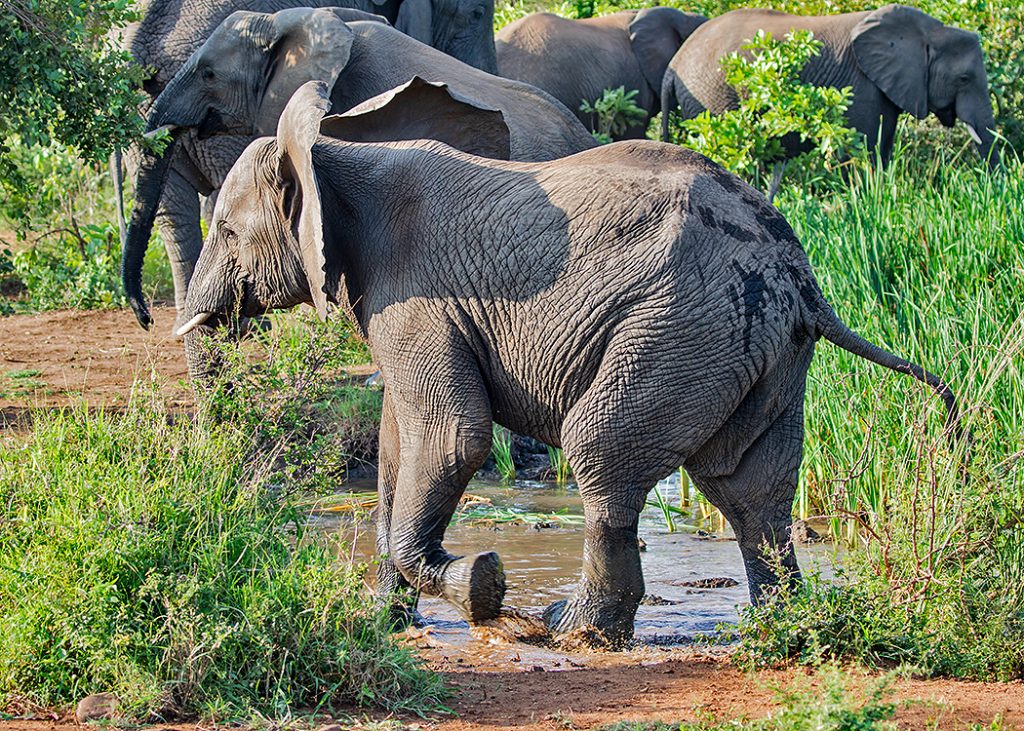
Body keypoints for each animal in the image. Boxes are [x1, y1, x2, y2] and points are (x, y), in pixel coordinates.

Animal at [176, 80, 960, 645]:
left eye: (227, 230)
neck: (332, 154)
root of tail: (803, 278)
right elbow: (399, 449)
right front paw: (384, 624)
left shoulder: (416, 299)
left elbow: (452, 438)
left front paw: (483, 588)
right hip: (755, 344)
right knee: (749, 487)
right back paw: (782, 628)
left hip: (679, 328)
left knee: (603, 451)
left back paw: (570, 630)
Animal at [660, 4, 999, 168]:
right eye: (964, 79)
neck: (931, 29)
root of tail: (674, 65)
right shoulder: (860, 85)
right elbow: (864, 147)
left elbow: (883, 144)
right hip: (713, 100)